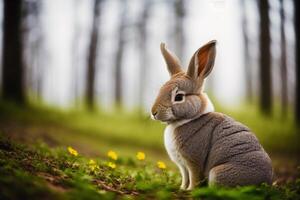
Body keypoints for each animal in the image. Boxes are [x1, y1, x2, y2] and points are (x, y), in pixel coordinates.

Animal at [151, 39, 274, 190]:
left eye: (179, 97)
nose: (154, 112)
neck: (189, 119)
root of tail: (266, 182)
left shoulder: (193, 161)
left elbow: (194, 177)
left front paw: (190, 190)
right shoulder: (182, 166)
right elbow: (185, 178)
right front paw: (182, 188)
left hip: (218, 173)